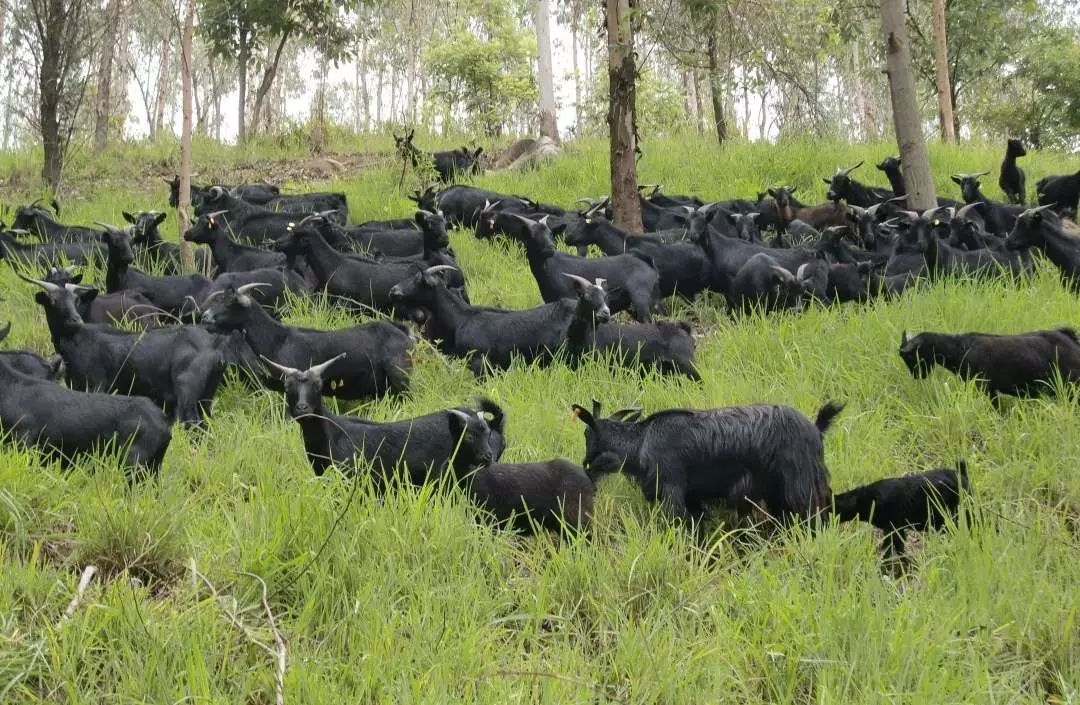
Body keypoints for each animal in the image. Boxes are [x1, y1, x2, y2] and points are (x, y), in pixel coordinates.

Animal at [574, 399, 842, 520]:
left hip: (802, 489)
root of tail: (816, 429)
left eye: (587, 434)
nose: (585, 466)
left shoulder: (673, 492)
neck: (642, 442)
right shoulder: (693, 500)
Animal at [829, 462, 976, 557]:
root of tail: (962, 475)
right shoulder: (894, 528)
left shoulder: (892, 527)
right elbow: (896, 546)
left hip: (961, 514)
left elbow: (890, 548)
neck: (868, 500)